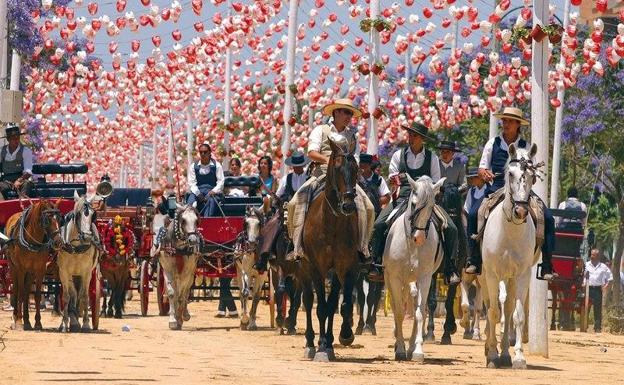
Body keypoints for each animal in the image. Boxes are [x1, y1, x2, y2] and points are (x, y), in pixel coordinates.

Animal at [4, 200, 63, 328]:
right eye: (47, 219)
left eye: (59, 219)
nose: (58, 241)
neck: (32, 242)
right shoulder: (21, 269)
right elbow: (20, 293)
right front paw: (19, 321)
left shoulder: (39, 270)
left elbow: (36, 295)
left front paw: (37, 322)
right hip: (13, 267)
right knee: (17, 290)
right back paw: (16, 317)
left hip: (30, 272)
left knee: (27, 292)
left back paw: (27, 320)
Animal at [56, 192, 99, 330]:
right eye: (78, 214)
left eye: (93, 214)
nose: (87, 237)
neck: (76, 248)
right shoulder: (64, 272)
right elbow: (66, 296)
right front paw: (65, 324)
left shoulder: (87, 273)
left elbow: (84, 295)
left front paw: (85, 324)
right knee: (73, 294)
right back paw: (73, 320)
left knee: (79, 294)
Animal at [300, 136, 364, 362]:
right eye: (337, 168)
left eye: (356, 169)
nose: (348, 205)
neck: (331, 224)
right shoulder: (317, 268)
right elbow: (321, 307)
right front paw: (320, 347)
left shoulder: (347, 266)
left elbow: (341, 304)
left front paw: (344, 336)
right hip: (304, 268)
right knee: (309, 300)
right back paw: (311, 343)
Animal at [382, 174, 446, 360]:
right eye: (413, 204)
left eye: (432, 206)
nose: (419, 237)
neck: (411, 245)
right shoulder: (395, 278)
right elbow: (398, 312)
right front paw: (400, 349)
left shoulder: (424, 277)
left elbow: (419, 312)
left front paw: (417, 350)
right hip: (391, 279)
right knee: (398, 305)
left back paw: (410, 346)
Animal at [480, 142, 544, 368]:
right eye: (510, 173)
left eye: (533, 176)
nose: (521, 212)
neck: (509, 231)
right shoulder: (492, 274)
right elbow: (492, 312)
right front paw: (491, 354)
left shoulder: (522, 275)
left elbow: (517, 315)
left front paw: (518, 356)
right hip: (484, 276)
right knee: (490, 306)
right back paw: (490, 349)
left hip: (511, 278)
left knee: (507, 309)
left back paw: (506, 354)